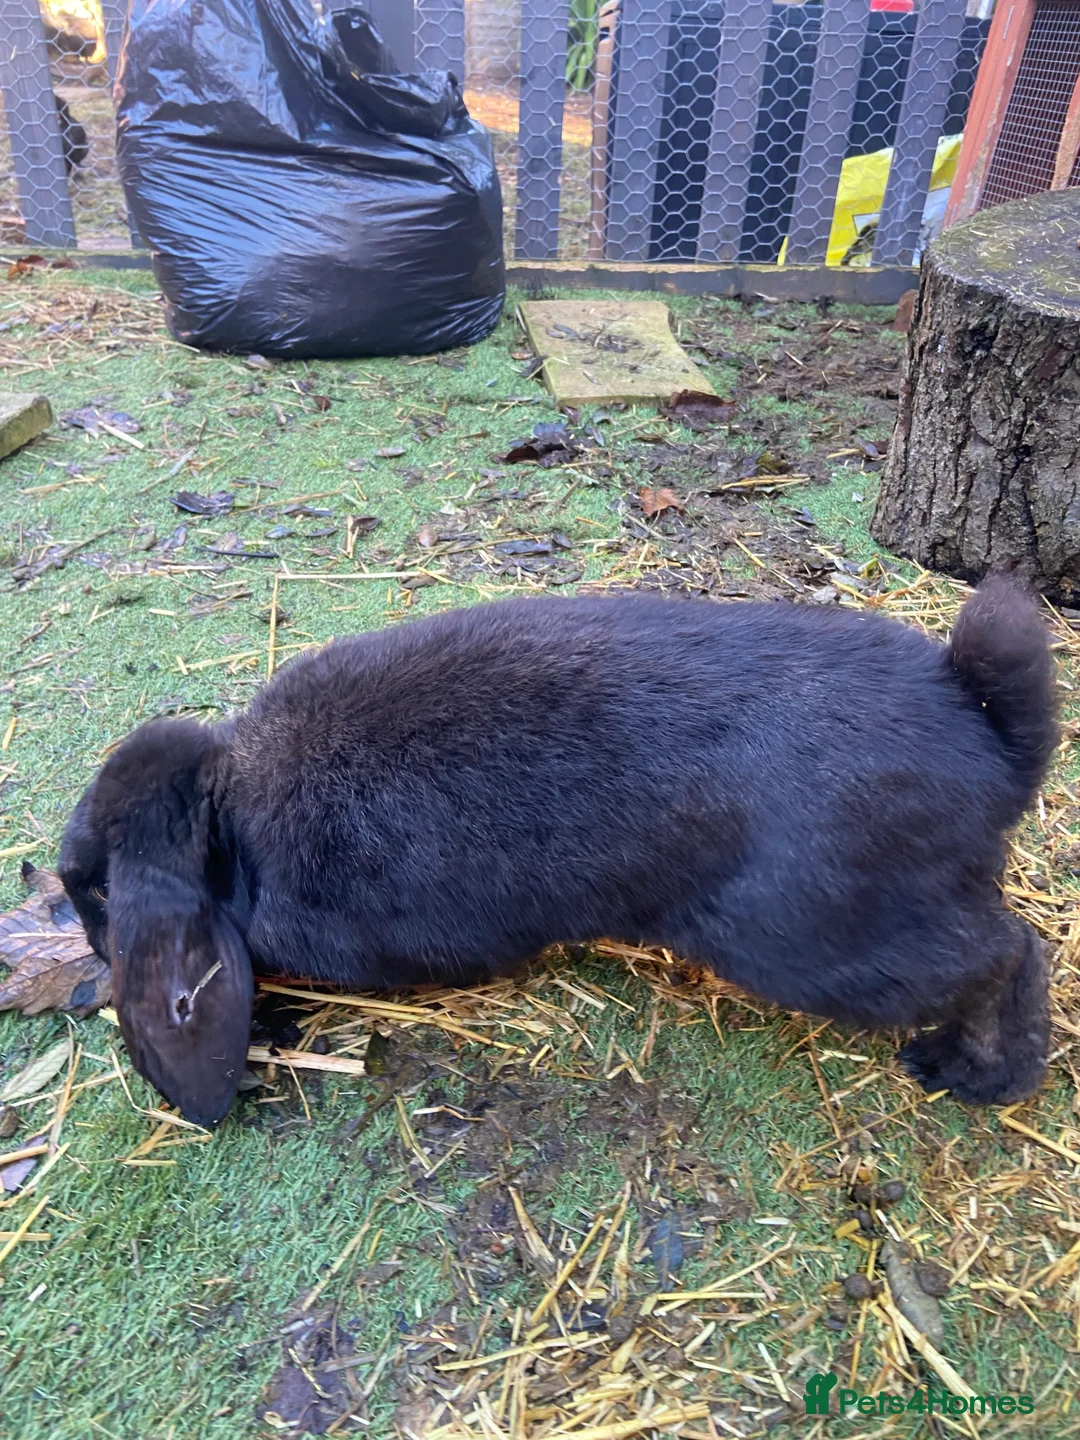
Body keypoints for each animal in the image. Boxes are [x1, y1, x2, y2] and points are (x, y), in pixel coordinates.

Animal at [59, 578, 1057, 1126]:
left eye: (96, 893)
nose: (88, 954)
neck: (235, 819)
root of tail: (992, 746)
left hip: (815, 940)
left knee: (1011, 952)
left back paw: (973, 1076)